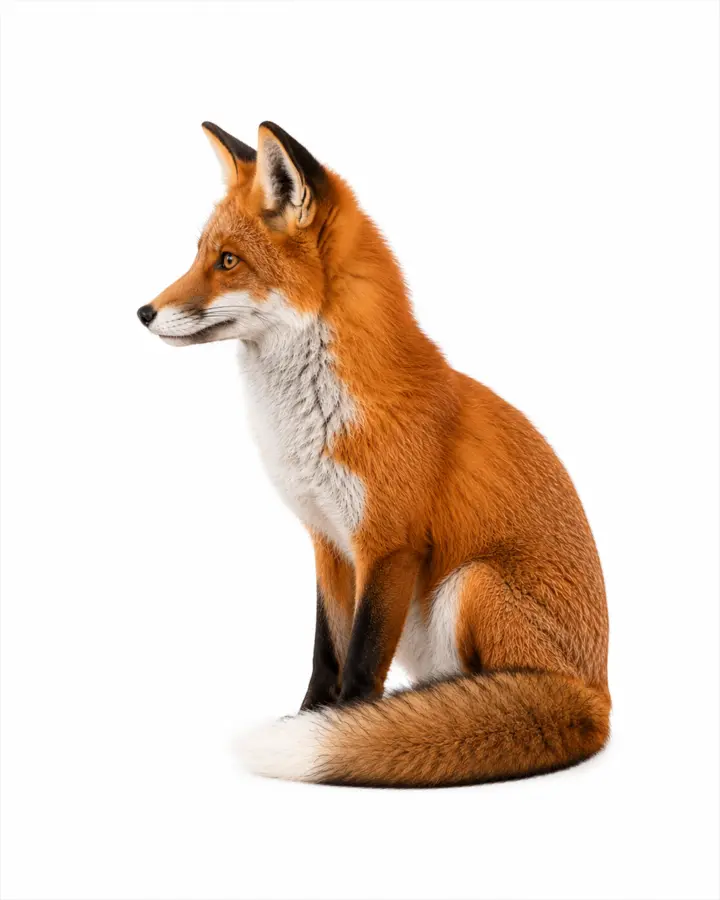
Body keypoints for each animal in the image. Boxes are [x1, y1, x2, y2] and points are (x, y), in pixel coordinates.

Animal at [138, 121, 610, 787]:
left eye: (228, 262)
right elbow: (326, 653)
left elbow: (360, 661)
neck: (316, 419)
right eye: (199, 255)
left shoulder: (388, 543)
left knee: (504, 692)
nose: (143, 312)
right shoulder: (330, 542)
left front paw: (351, 728)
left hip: (473, 583)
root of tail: (597, 698)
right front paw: (315, 718)